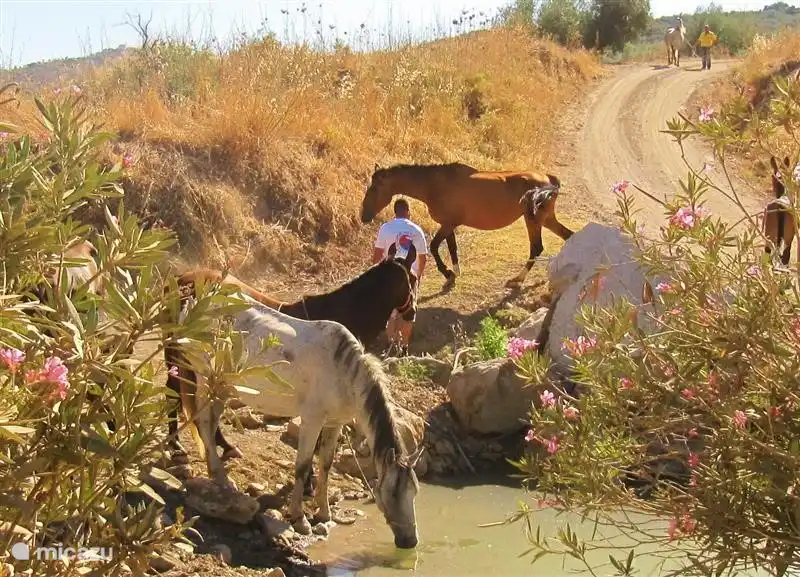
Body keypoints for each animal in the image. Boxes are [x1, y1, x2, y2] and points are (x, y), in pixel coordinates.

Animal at [163, 252, 417, 493]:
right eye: (412, 280)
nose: (412, 313)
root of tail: (181, 279)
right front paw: (308, 484)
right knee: (174, 395)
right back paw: (177, 446)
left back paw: (222, 447)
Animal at [166, 282, 422, 548]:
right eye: (392, 493)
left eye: (414, 491)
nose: (410, 541)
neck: (343, 372)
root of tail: (192, 306)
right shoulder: (312, 420)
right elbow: (302, 466)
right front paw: (300, 519)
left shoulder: (334, 423)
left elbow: (326, 464)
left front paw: (324, 512)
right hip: (206, 379)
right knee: (205, 421)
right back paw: (220, 477)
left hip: (224, 386)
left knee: (210, 423)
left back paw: (216, 476)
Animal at [360, 162, 574, 287]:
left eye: (375, 187)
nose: (364, 216)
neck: (433, 184)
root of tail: (548, 179)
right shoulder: (449, 225)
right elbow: (452, 248)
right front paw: (454, 273)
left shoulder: (447, 224)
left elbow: (434, 247)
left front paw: (447, 273)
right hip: (546, 219)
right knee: (567, 236)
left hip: (533, 220)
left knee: (536, 247)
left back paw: (517, 280)